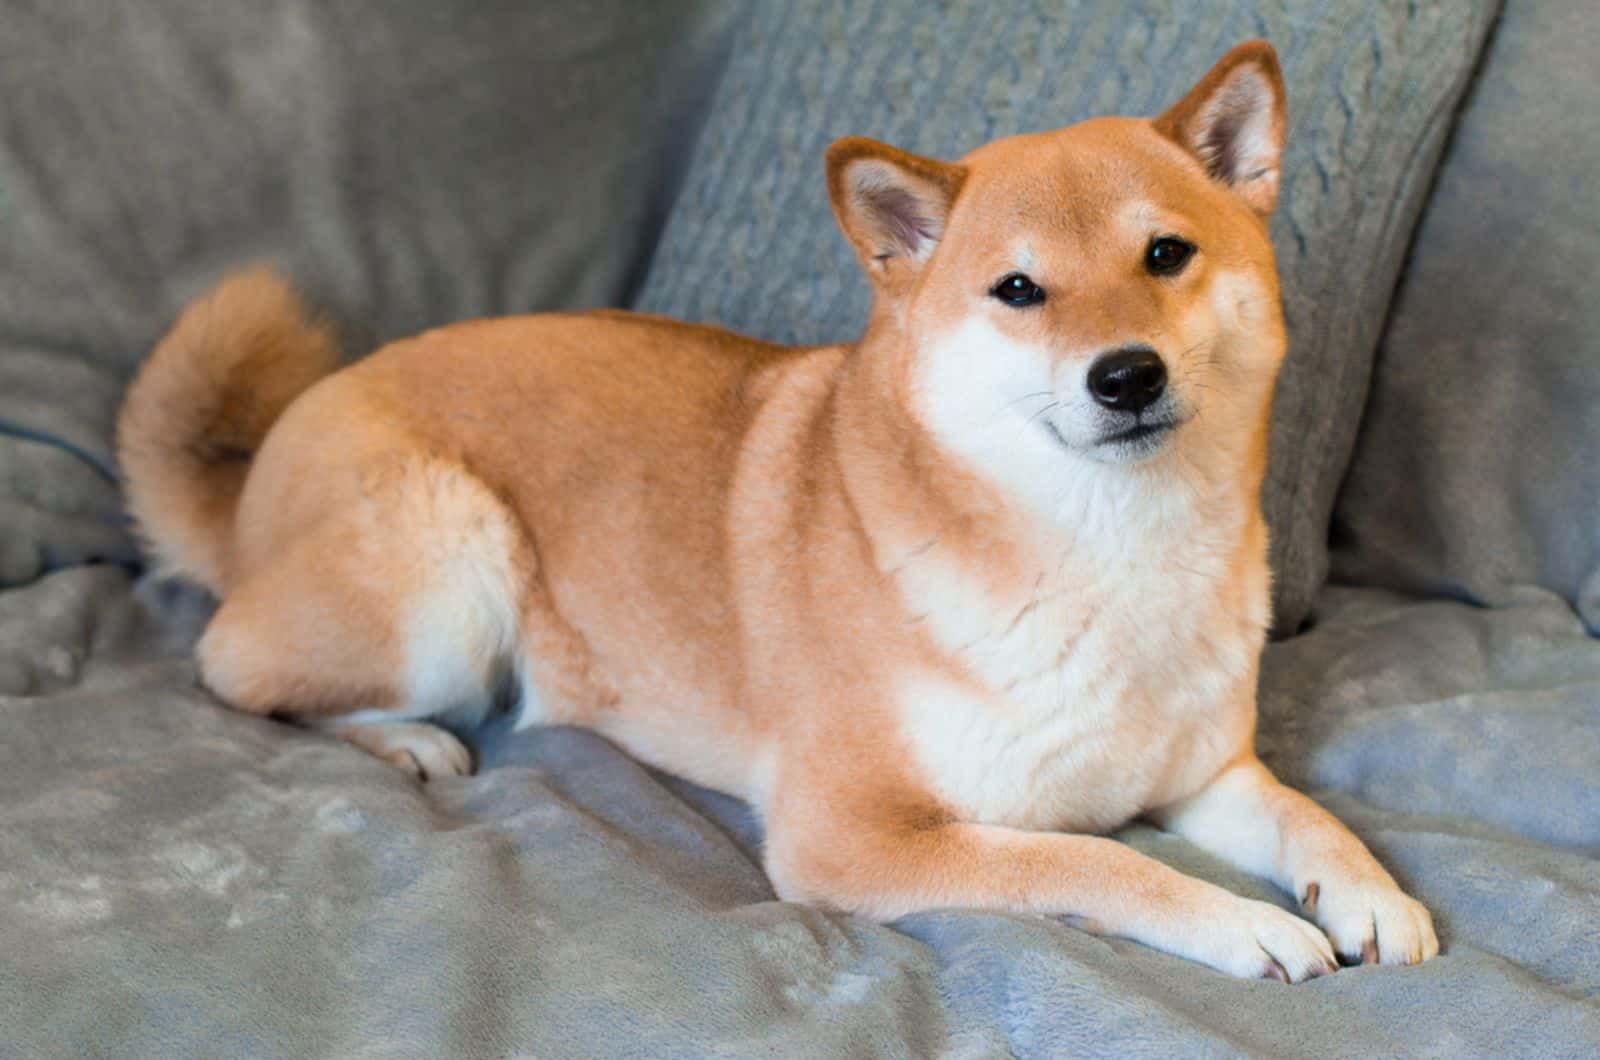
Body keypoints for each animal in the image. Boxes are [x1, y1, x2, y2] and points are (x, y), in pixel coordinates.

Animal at [116, 43, 1440, 986]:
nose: (1126, 375)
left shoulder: (1206, 771)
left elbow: (1307, 818)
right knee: (237, 669)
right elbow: (1089, 855)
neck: (1109, 555)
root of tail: (275, 448)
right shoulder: (855, 833)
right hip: (451, 571)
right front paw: (1234, 921)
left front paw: (1368, 889)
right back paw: (403, 741)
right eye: (1017, 289)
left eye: (1165, 255)